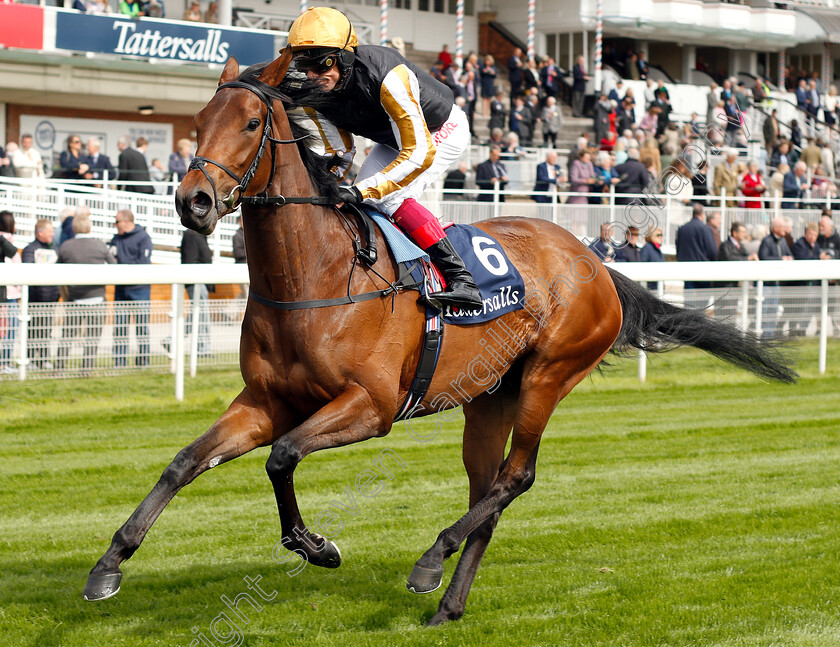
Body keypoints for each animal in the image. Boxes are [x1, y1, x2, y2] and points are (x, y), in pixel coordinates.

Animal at [82, 52, 796, 628]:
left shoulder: (369, 407)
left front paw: (317, 546)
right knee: (490, 490)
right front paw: (109, 564)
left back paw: (431, 561)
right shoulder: (266, 402)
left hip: (549, 375)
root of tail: (591, 261)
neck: (318, 276)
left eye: (252, 125)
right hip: (490, 399)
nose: (194, 203)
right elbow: (186, 462)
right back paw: (449, 604)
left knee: (517, 477)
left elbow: (281, 458)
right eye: (200, 120)